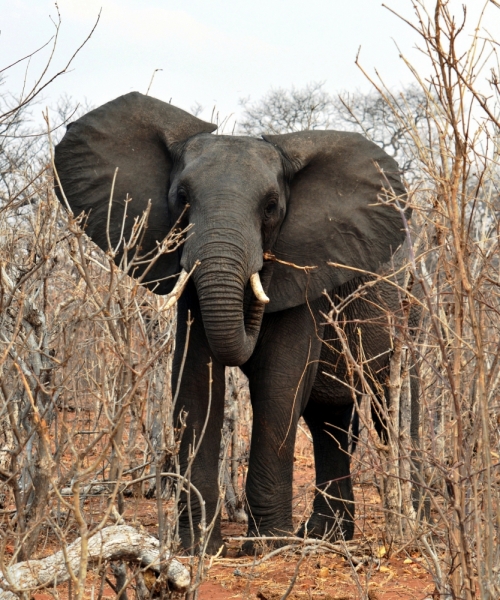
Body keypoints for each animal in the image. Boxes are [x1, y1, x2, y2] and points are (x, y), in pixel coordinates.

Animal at [55, 91, 414, 556]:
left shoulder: (305, 273)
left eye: (271, 208)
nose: (259, 271)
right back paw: (324, 536)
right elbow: (194, 383)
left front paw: (266, 547)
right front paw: (197, 550)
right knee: (329, 422)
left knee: (393, 412)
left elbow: (279, 382)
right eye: (182, 197)